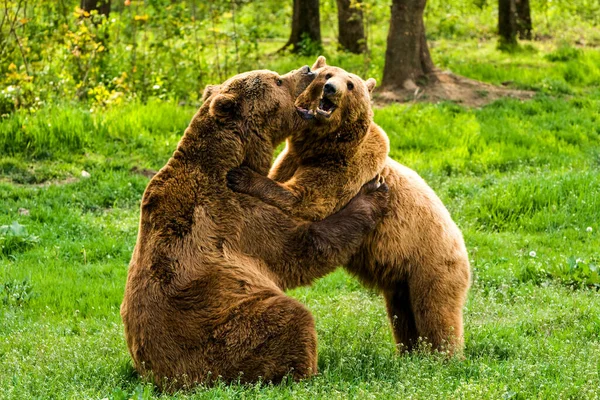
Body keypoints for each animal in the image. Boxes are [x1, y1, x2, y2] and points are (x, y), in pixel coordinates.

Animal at [120, 66, 390, 390]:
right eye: (278, 79)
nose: (307, 70)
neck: (233, 158)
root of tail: (162, 378)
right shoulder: (235, 214)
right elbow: (300, 248)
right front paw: (373, 192)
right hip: (222, 331)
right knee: (290, 320)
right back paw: (309, 370)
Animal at [227, 56, 472, 354]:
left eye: (351, 84)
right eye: (327, 74)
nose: (331, 88)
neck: (321, 147)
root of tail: (462, 241)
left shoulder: (348, 169)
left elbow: (307, 201)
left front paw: (241, 175)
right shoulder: (291, 159)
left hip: (431, 262)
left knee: (435, 312)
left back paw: (443, 355)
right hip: (402, 279)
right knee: (402, 315)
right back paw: (409, 351)